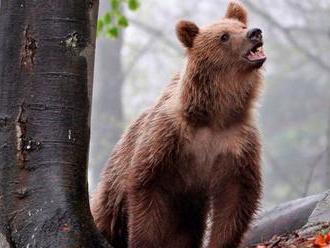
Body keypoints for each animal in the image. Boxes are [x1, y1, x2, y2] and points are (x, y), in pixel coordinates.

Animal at [92, 0, 266, 247]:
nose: (255, 32)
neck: (214, 115)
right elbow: (147, 189)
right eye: (224, 36)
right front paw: (144, 240)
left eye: (241, 26)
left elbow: (236, 197)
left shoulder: (236, 143)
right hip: (114, 185)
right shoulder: (167, 138)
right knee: (107, 214)